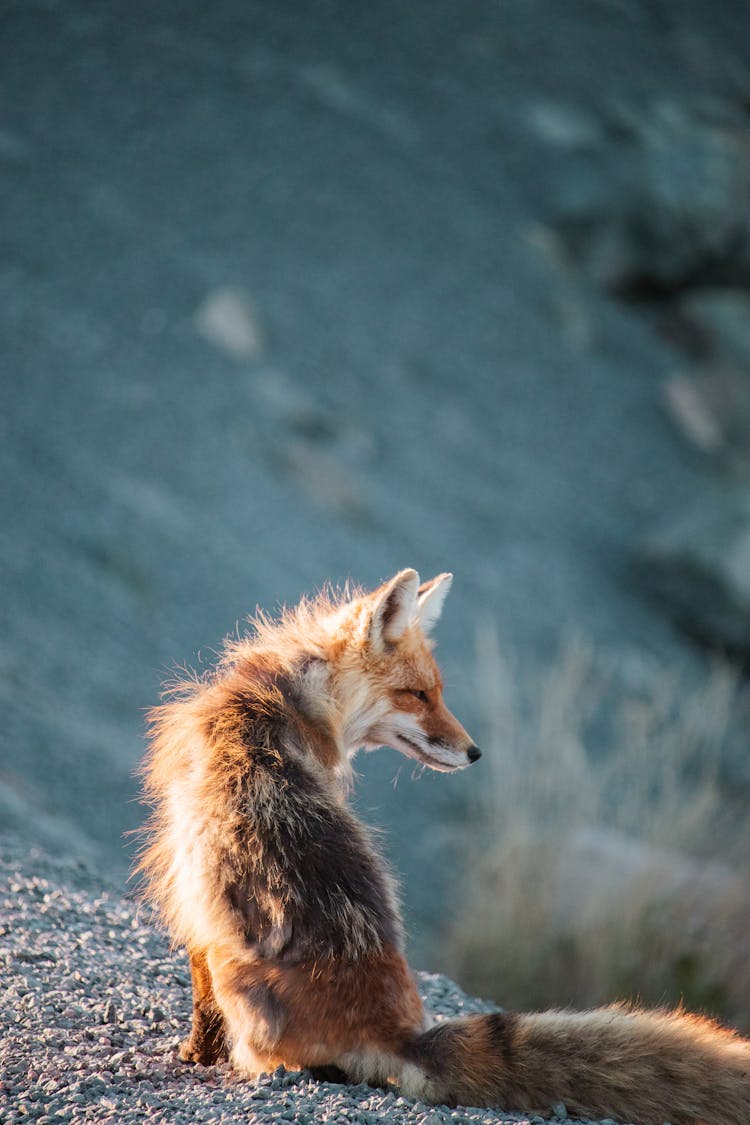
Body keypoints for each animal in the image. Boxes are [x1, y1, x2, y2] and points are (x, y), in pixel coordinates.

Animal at [137, 571, 750, 1125]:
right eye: (418, 694)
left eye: (437, 692)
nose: (475, 752)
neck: (287, 694)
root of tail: (399, 1033)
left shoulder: (189, 888)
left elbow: (200, 999)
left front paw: (195, 1056)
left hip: (236, 972)